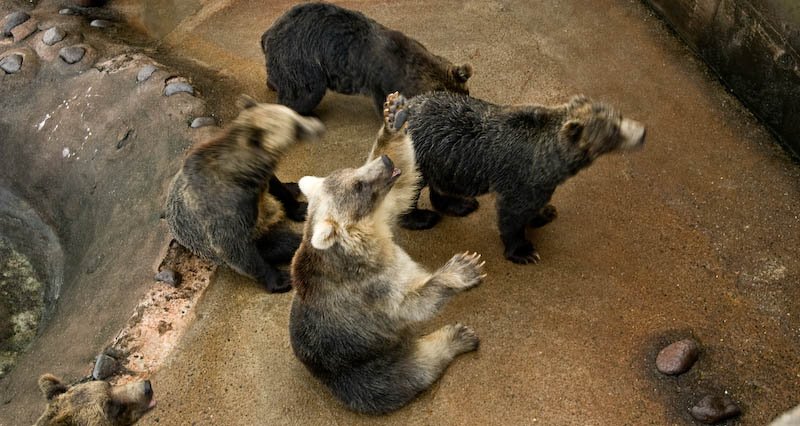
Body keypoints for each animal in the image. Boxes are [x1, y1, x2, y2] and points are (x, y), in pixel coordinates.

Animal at [166, 95, 324, 292]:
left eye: (295, 115)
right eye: (296, 126)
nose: (318, 127)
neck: (242, 173)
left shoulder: (259, 185)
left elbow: (277, 188)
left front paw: (299, 207)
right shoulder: (226, 208)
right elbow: (236, 249)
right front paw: (280, 280)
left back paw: (294, 187)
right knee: (281, 244)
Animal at [262, 2, 472, 115]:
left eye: (467, 93)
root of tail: (269, 32)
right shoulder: (382, 80)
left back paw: (272, 85)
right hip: (302, 57)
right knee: (305, 93)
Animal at [290, 92, 484, 412]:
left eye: (352, 169)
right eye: (358, 184)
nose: (384, 161)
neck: (367, 245)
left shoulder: (384, 221)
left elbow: (401, 191)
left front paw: (393, 116)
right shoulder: (371, 288)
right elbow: (408, 302)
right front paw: (463, 267)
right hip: (372, 369)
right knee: (415, 368)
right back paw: (459, 335)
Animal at [404, 94, 648, 262]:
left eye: (619, 115)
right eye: (613, 130)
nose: (643, 132)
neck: (555, 159)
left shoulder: (541, 179)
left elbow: (535, 204)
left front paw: (545, 213)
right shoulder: (520, 175)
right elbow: (512, 212)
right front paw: (524, 250)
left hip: (444, 161)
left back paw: (459, 203)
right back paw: (421, 217)